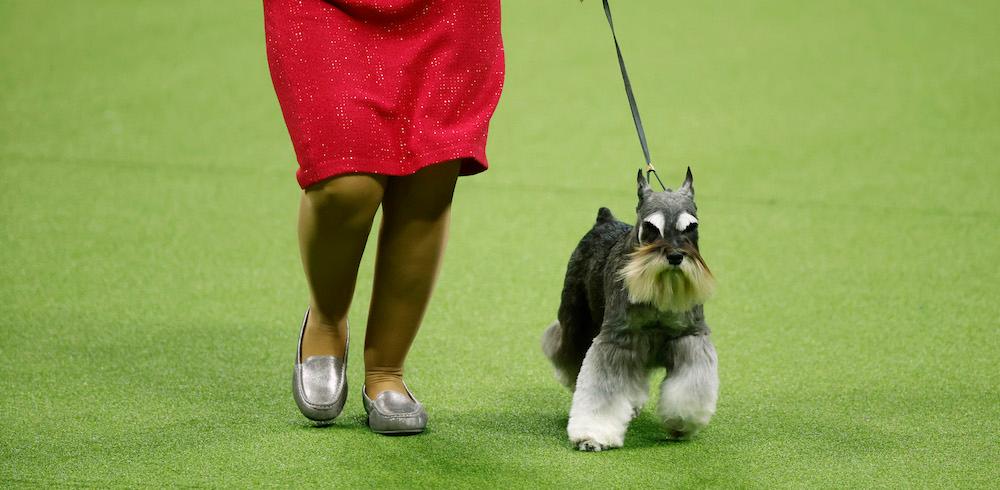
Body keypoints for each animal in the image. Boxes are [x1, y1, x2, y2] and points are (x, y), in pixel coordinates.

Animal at [544, 167, 716, 452]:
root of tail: (604, 219)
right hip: (576, 320)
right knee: (565, 350)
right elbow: (602, 389)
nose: (675, 256)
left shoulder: (690, 337)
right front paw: (592, 434)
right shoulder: (617, 340)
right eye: (651, 227)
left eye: (692, 226)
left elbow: (691, 384)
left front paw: (682, 421)